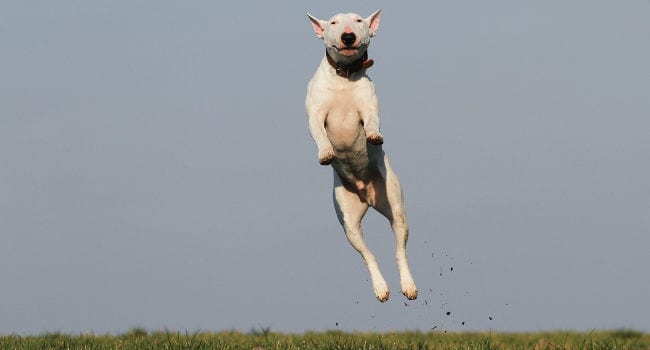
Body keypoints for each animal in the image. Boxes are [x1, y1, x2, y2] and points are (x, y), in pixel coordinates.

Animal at [304, 10, 416, 300]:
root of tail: (367, 194)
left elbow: (372, 121)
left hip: (395, 205)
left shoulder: (368, 109)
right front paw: (326, 153)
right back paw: (381, 288)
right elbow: (319, 133)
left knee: (400, 250)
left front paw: (374, 137)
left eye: (357, 21)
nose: (347, 36)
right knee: (368, 255)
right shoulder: (316, 114)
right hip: (349, 224)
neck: (344, 78)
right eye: (333, 22)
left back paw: (407, 286)